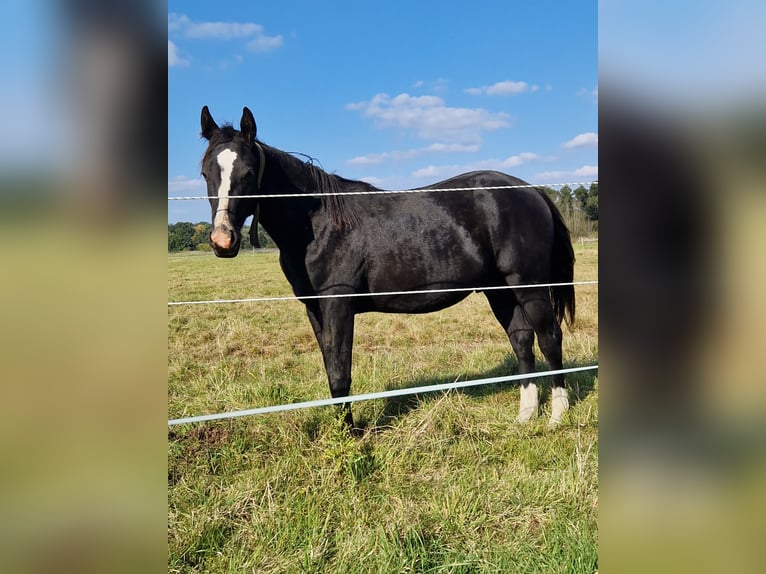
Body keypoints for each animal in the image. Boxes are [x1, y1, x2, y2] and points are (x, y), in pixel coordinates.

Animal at [199, 105, 576, 430]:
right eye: (205, 173)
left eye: (249, 173)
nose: (223, 240)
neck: (318, 223)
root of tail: (532, 191)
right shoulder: (314, 309)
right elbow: (330, 368)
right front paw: (341, 432)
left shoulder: (338, 305)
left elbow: (341, 371)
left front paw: (351, 438)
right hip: (500, 290)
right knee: (522, 340)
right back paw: (525, 416)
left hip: (529, 286)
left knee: (549, 339)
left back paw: (558, 416)